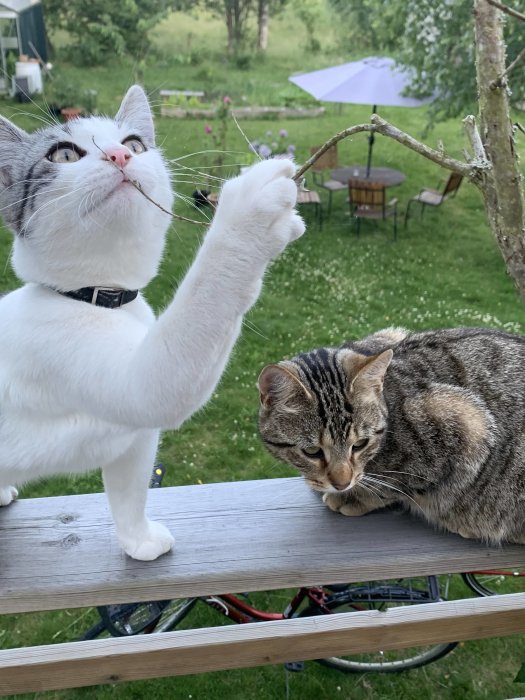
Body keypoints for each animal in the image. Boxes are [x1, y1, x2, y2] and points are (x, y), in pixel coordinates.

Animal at [258, 326, 524, 544]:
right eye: (312, 451)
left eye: (360, 444)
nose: (341, 483)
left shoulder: (468, 423)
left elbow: (394, 485)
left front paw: (354, 496)